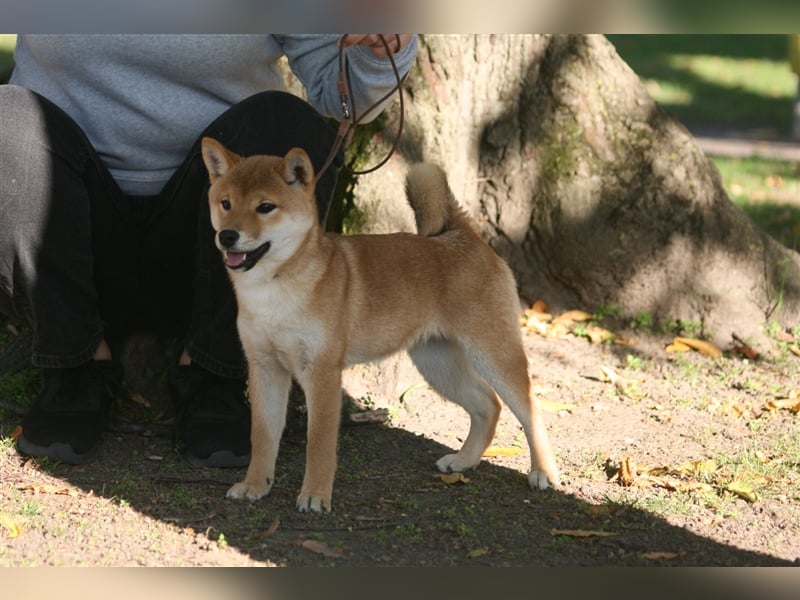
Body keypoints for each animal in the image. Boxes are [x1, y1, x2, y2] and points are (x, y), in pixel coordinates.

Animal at [203, 138, 560, 512]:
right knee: (487, 405)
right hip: (439, 365)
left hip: (493, 353)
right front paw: (255, 485)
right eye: (226, 203)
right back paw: (464, 460)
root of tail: (464, 236)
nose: (227, 236)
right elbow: (262, 436)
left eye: (265, 207)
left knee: (529, 408)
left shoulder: (322, 372)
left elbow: (318, 443)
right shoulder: (264, 368)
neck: (275, 290)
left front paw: (315, 494)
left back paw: (544, 472)